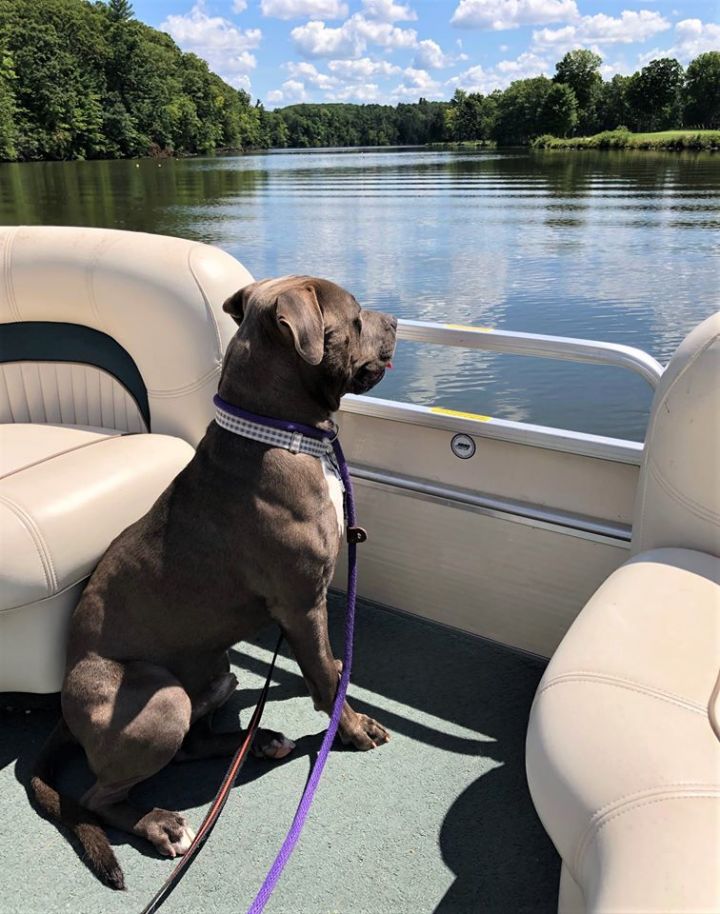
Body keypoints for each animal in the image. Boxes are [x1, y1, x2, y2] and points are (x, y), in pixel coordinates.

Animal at [31, 274, 396, 888]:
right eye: (355, 314)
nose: (394, 320)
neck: (277, 432)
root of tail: (63, 711)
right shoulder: (303, 603)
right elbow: (324, 677)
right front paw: (351, 727)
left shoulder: (303, 612)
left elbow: (322, 664)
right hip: (161, 698)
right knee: (101, 796)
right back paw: (159, 823)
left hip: (217, 671)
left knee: (190, 745)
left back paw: (260, 740)